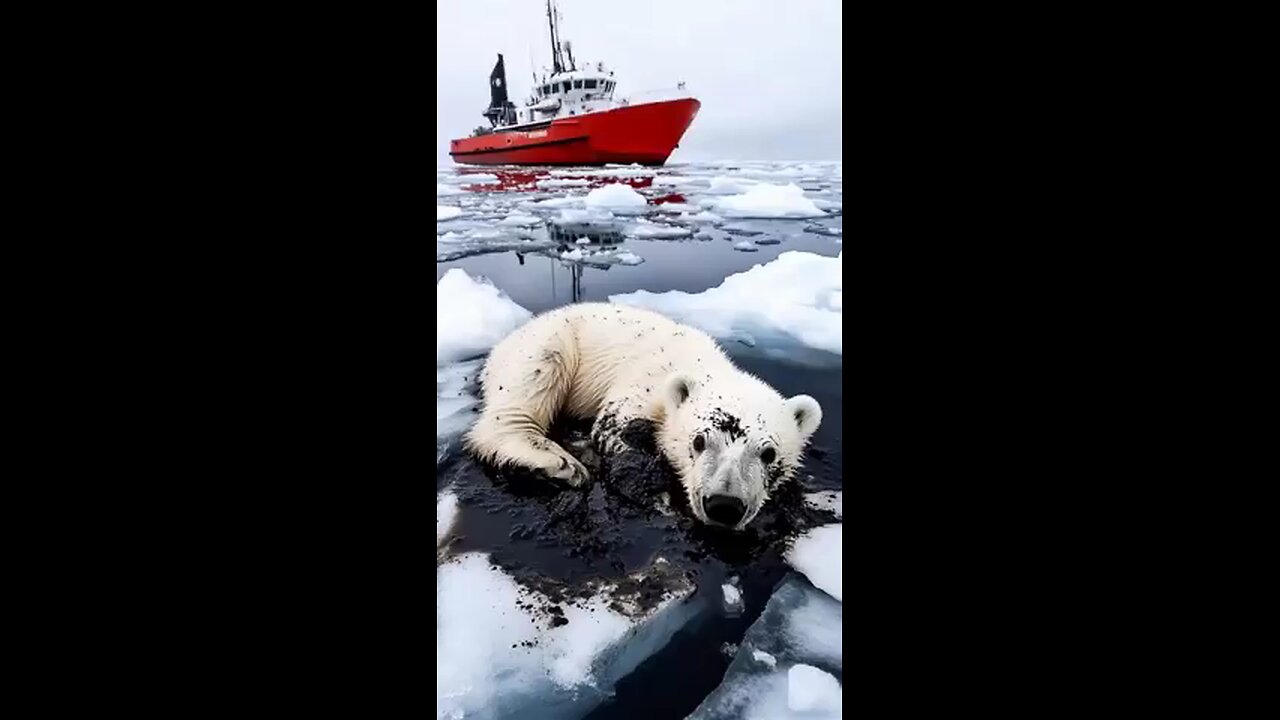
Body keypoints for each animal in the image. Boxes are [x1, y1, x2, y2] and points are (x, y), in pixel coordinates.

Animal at [468, 301, 819, 527]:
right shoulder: (643, 383)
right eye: (699, 442)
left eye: (769, 453)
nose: (724, 505)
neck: (700, 365)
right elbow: (614, 429)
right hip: (549, 342)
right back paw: (558, 464)